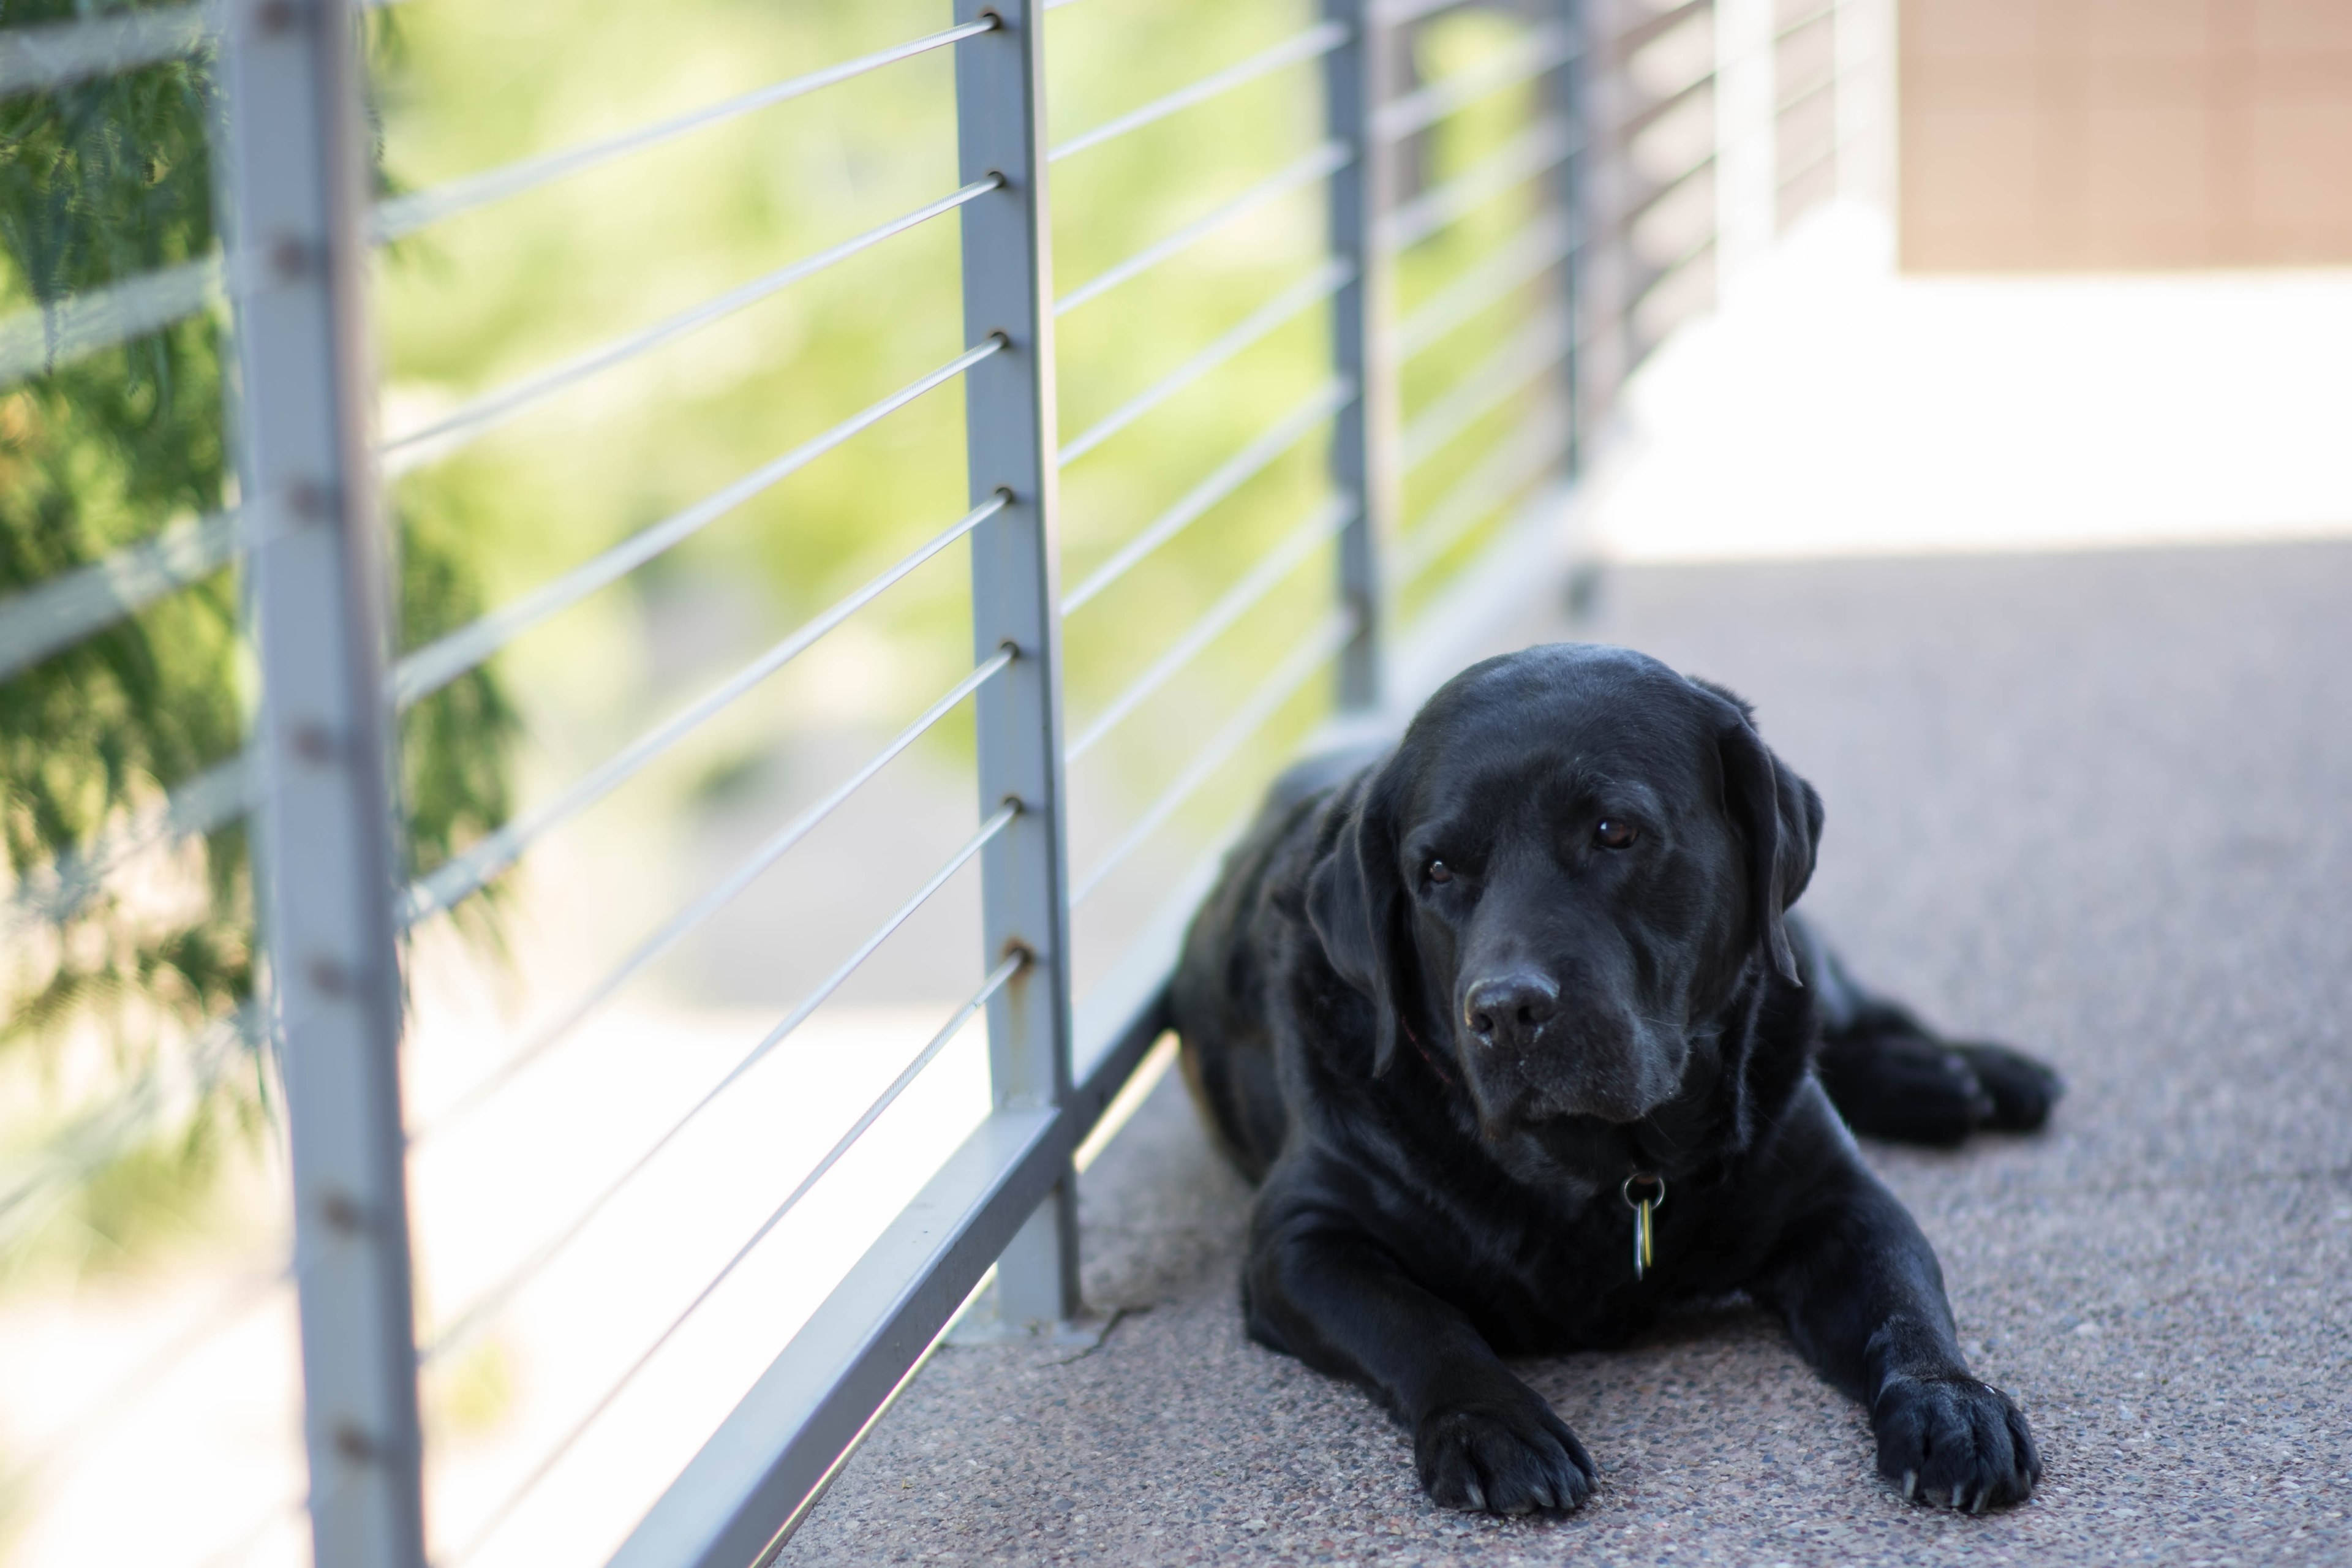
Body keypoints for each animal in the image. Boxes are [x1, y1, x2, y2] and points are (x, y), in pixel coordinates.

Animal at [1171, 644, 2060, 1513]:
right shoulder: (1300, 1239)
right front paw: (1494, 1424)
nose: (1506, 1010)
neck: (1602, 1169)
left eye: (1615, 831)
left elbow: (1905, 1304)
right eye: (1437, 871)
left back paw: (1975, 1076)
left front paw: (1953, 1405)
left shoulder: (1841, 1200)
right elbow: (1418, 1321)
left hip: (1805, 970)